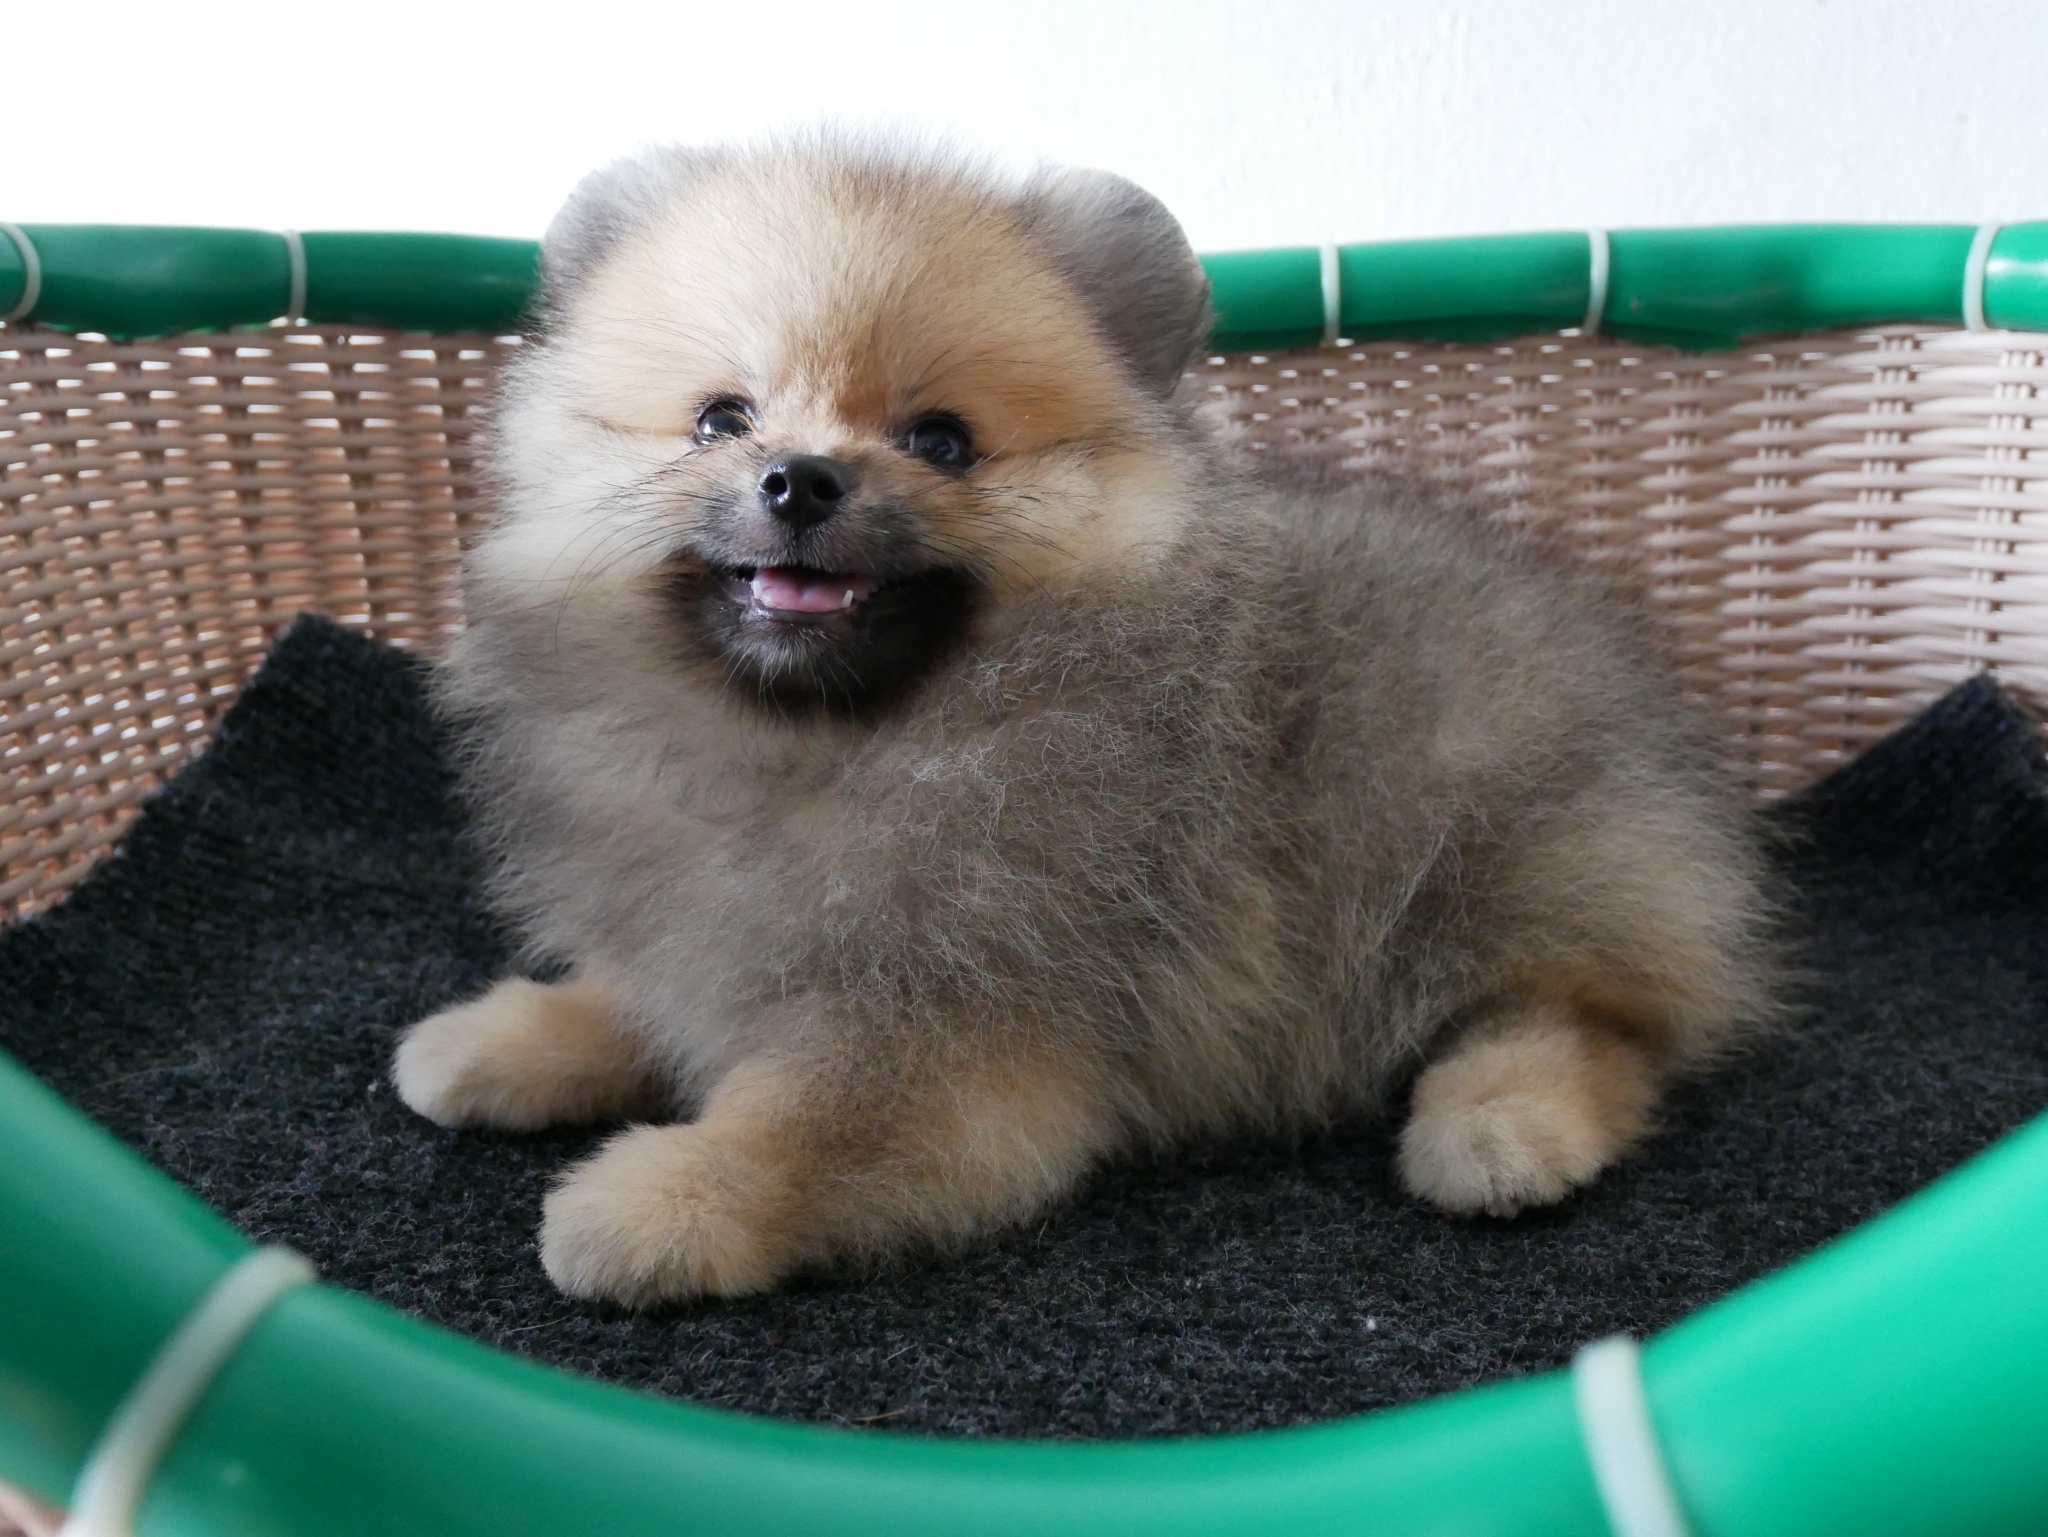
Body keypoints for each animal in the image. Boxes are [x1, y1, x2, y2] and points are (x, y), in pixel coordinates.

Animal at [392, 138, 1776, 1306]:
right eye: (721, 419)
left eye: (941, 441)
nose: (799, 479)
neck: (824, 749)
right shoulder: (709, 929)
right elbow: (641, 995)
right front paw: (515, 1034)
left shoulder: (953, 1026)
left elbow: (800, 1127)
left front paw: (660, 1200)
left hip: (1499, 852)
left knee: (1590, 1018)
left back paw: (1498, 1123)